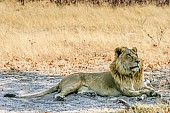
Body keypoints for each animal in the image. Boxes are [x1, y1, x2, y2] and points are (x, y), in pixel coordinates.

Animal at [3, 46, 161, 100]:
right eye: (129, 55)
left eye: (136, 54)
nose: (138, 61)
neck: (132, 75)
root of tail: (61, 80)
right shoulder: (126, 91)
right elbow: (140, 92)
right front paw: (150, 94)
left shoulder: (139, 85)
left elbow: (147, 87)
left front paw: (155, 92)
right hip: (74, 83)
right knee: (60, 93)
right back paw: (60, 97)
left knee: (79, 92)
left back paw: (91, 93)